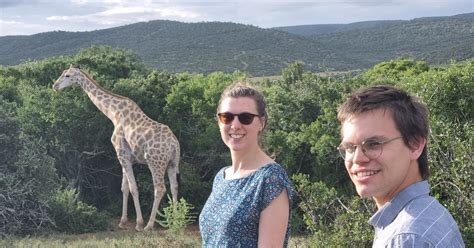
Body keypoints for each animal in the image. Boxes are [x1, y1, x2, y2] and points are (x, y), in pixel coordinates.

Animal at [52, 65, 180, 231]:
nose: (55, 86)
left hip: (155, 162)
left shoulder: (121, 153)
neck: (114, 114)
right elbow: (124, 188)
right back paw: (175, 221)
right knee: (174, 187)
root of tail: (174, 144)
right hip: (172, 163)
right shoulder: (125, 157)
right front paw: (123, 221)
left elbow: (133, 188)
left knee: (160, 188)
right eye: (62, 73)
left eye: (67, 75)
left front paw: (138, 223)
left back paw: (149, 225)